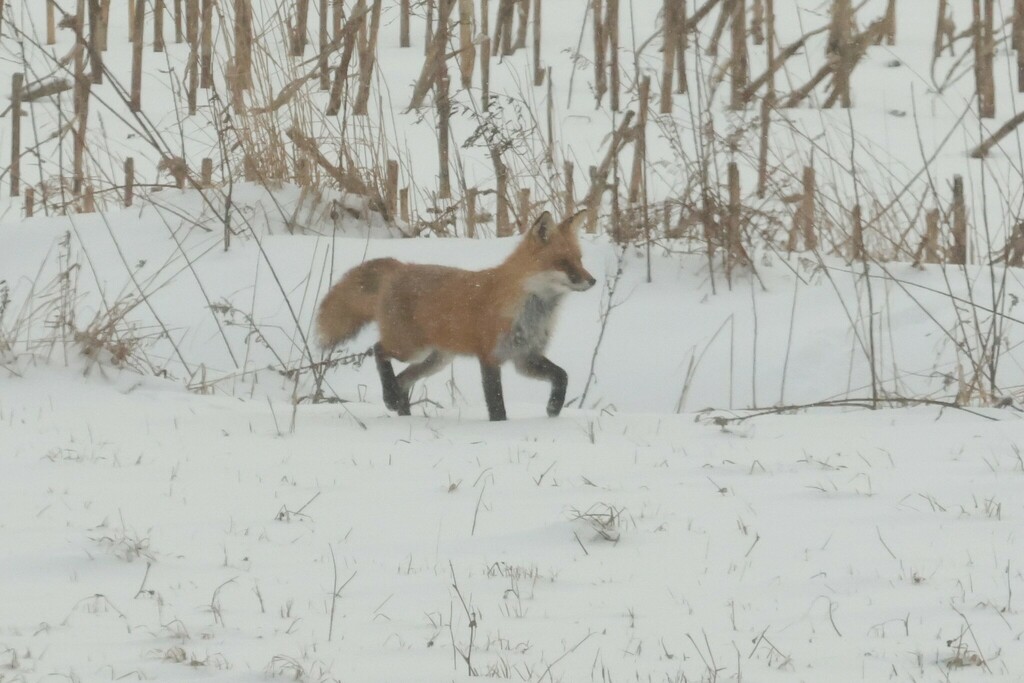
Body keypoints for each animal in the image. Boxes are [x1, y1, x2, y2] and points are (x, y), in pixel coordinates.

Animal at [315, 210, 598, 419]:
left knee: (403, 380)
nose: (593, 280)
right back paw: (390, 398)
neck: (530, 310)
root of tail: (400, 267)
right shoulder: (490, 356)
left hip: (436, 359)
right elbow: (496, 404)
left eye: (580, 259)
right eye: (563, 263)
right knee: (378, 350)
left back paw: (402, 412)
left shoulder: (524, 357)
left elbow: (562, 375)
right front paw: (502, 428)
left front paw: (554, 408)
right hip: (410, 349)